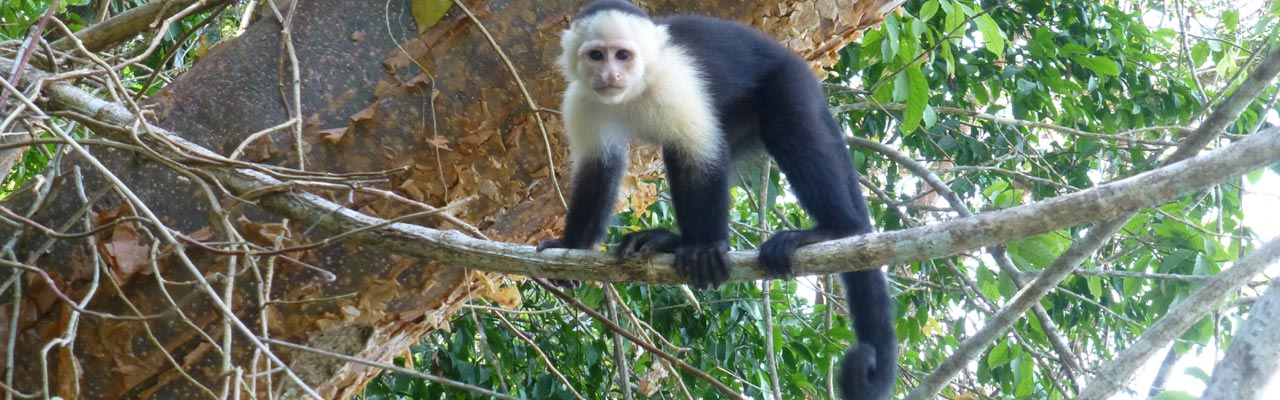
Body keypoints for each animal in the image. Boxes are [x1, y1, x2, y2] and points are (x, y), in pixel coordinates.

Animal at [535, 1, 896, 399]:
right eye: (596, 55)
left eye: (623, 55)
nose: (609, 74)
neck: (638, 87)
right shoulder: (582, 100)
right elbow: (598, 170)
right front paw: (572, 244)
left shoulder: (675, 83)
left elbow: (700, 156)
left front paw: (707, 247)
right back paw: (669, 241)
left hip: (787, 81)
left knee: (785, 127)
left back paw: (835, 229)